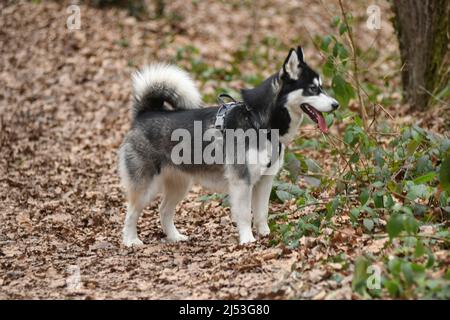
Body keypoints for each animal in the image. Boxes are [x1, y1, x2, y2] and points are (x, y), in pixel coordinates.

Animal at [118, 46, 338, 246]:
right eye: (313, 89)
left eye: (321, 87)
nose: (336, 105)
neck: (258, 122)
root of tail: (145, 114)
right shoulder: (242, 181)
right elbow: (245, 214)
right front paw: (247, 239)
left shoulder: (265, 180)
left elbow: (262, 213)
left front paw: (265, 234)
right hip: (145, 186)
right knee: (131, 213)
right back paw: (131, 240)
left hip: (180, 184)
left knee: (163, 210)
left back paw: (174, 237)